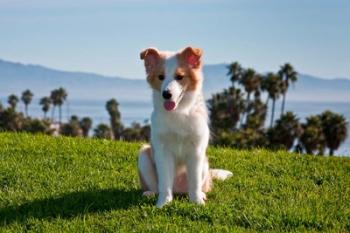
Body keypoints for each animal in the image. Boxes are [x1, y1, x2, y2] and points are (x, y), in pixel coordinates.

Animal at [137, 46, 232, 208]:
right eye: (161, 77)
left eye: (179, 77)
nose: (166, 94)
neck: (178, 112)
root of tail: (178, 190)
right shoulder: (163, 151)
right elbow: (164, 183)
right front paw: (163, 203)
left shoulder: (196, 150)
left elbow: (194, 182)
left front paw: (197, 202)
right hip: (144, 155)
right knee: (156, 186)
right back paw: (150, 193)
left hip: (204, 163)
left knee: (199, 185)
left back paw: (201, 194)